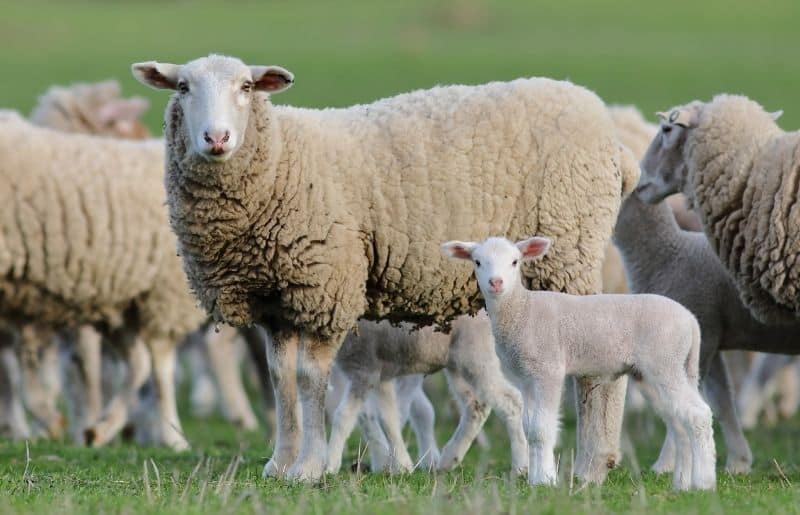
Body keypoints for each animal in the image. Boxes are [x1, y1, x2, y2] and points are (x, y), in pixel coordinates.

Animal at [327, 314, 527, 475]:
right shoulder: (380, 377)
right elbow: (387, 418)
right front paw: (399, 464)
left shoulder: (365, 369)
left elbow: (344, 416)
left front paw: (330, 466)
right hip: (457, 365)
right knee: (476, 404)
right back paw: (449, 459)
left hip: (476, 354)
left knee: (511, 400)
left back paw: (520, 467)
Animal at [442, 236, 716, 490]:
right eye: (478, 262)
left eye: (515, 261)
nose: (496, 283)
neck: (522, 310)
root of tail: (691, 321)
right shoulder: (526, 378)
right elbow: (529, 428)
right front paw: (534, 479)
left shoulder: (548, 368)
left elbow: (541, 428)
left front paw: (546, 480)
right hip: (670, 368)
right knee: (680, 423)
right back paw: (681, 483)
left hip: (665, 362)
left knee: (698, 415)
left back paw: (703, 482)